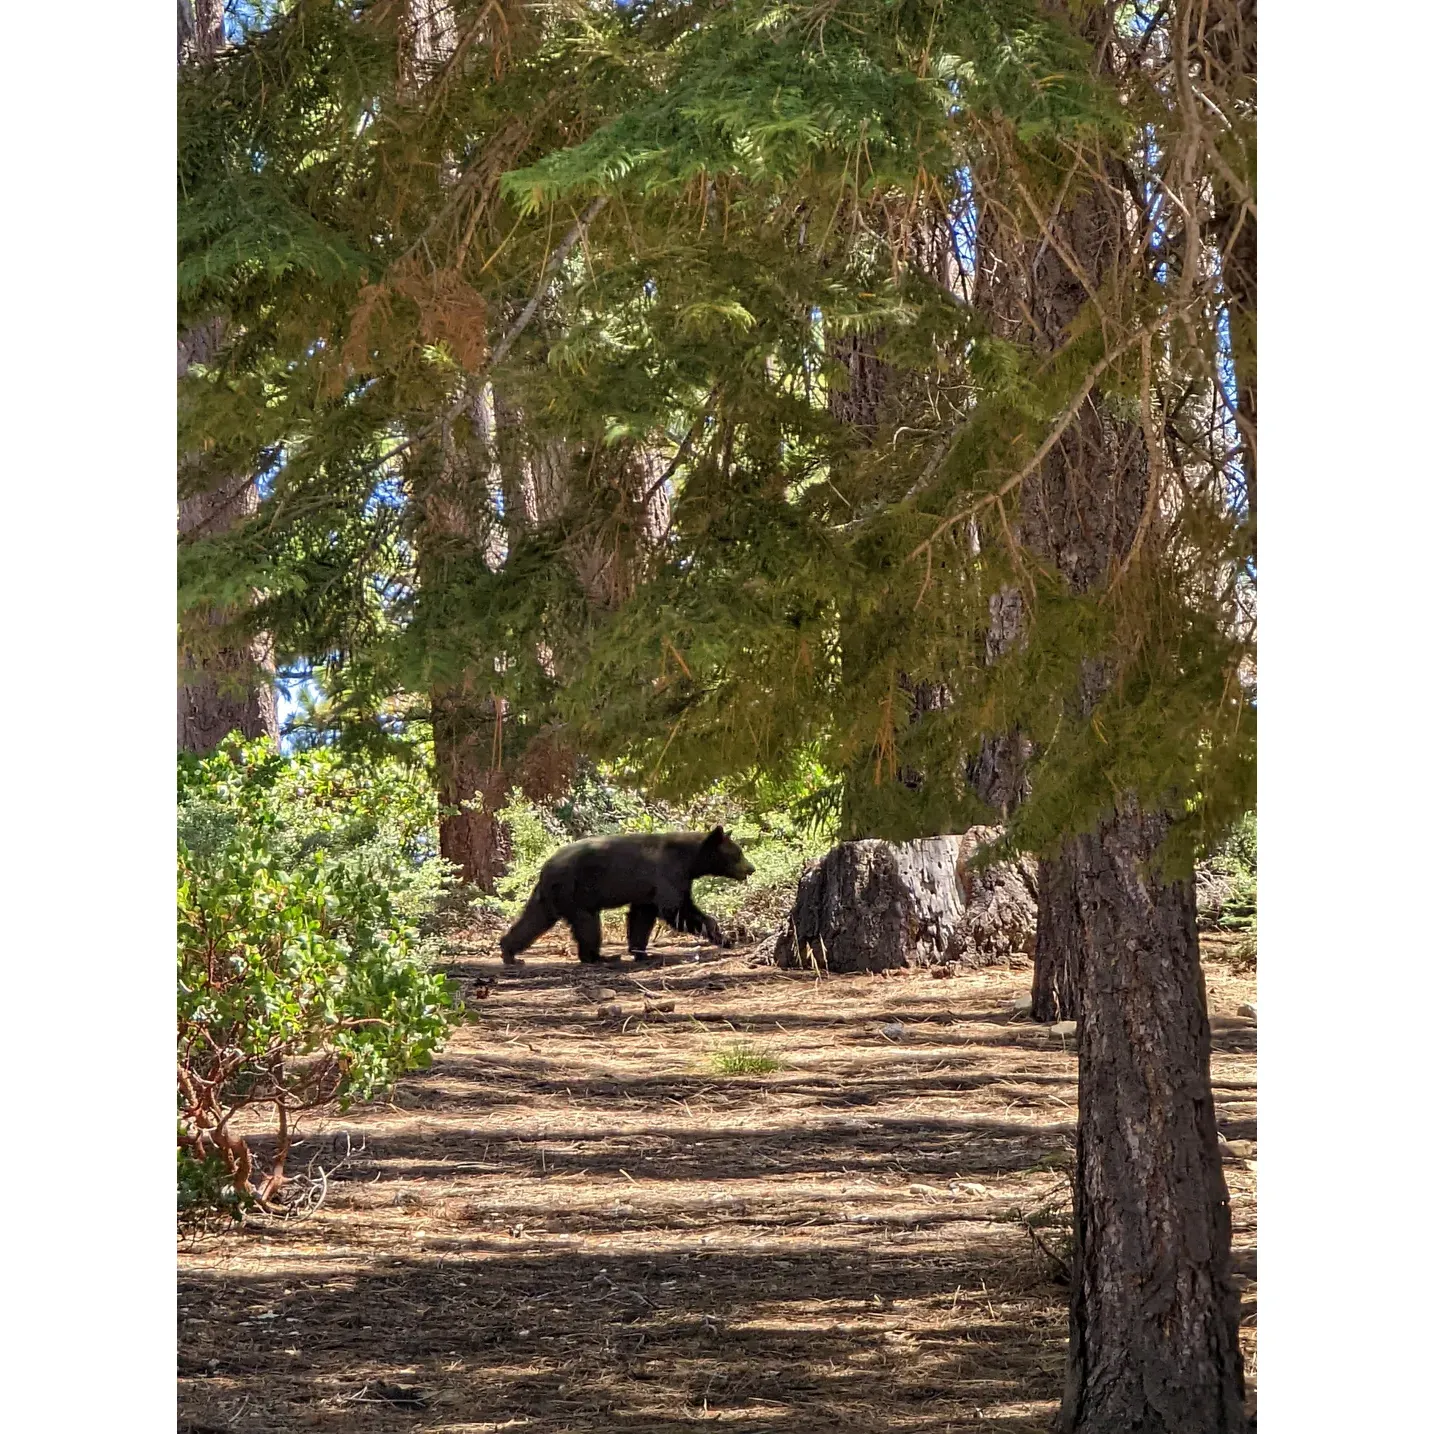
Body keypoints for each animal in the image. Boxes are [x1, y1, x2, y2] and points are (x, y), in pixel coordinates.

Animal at [499, 825, 757, 969]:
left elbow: (641, 916)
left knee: (533, 920)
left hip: (550, 897)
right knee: (588, 925)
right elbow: (675, 908)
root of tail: (545, 869)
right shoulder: (668, 873)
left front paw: (641, 952)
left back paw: (510, 953)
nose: (751, 868)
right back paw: (599, 957)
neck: (690, 859)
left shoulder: (648, 891)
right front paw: (724, 937)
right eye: (737, 853)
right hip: (575, 893)